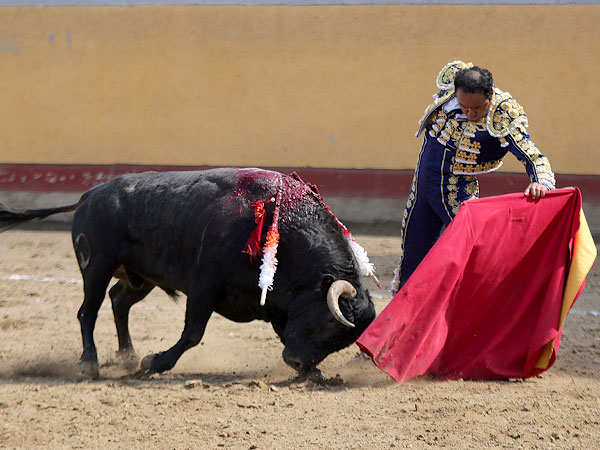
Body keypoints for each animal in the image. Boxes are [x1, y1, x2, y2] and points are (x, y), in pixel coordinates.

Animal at [0, 167, 376, 378]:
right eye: (328, 321)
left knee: (119, 301)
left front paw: (317, 372)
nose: (298, 363)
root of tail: (90, 194)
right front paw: (154, 362)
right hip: (96, 266)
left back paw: (126, 355)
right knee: (87, 311)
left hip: (141, 276)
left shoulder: (273, 304)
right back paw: (89, 364)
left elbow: (283, 332)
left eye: (342, 341)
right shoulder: (204, 287)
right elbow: (192, 333)